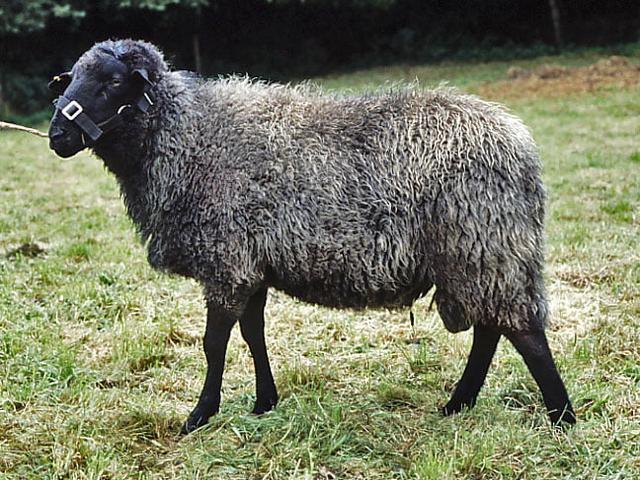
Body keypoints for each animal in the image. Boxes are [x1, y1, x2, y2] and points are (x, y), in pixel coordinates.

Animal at [48, 39, 576, 433]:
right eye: (70, 78)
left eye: (113, 82)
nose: (57, 135)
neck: (187, 137)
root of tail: (518, 142)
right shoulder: (251, 266)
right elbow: (253, 334)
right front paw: (264, 402)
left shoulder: (227, 261)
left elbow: (214, 343)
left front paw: (199, 415)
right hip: (477, 254)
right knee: (491, 329)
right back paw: (459, 404)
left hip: (484, 244)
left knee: (523, 333)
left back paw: (561, 417)